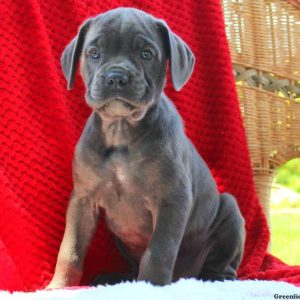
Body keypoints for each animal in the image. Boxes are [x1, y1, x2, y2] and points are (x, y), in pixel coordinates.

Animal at [46, 7, 244, 288]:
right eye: (94, 53)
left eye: (146, 54)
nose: (116, 77)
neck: (120, 132)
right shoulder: (83, 199)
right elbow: (71, 248)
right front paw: (59, 286)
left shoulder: (172, 199)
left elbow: (159, 251)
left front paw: (150, 286)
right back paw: (116, 277)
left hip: (230, 210)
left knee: (224, 262)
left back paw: (216, 279)